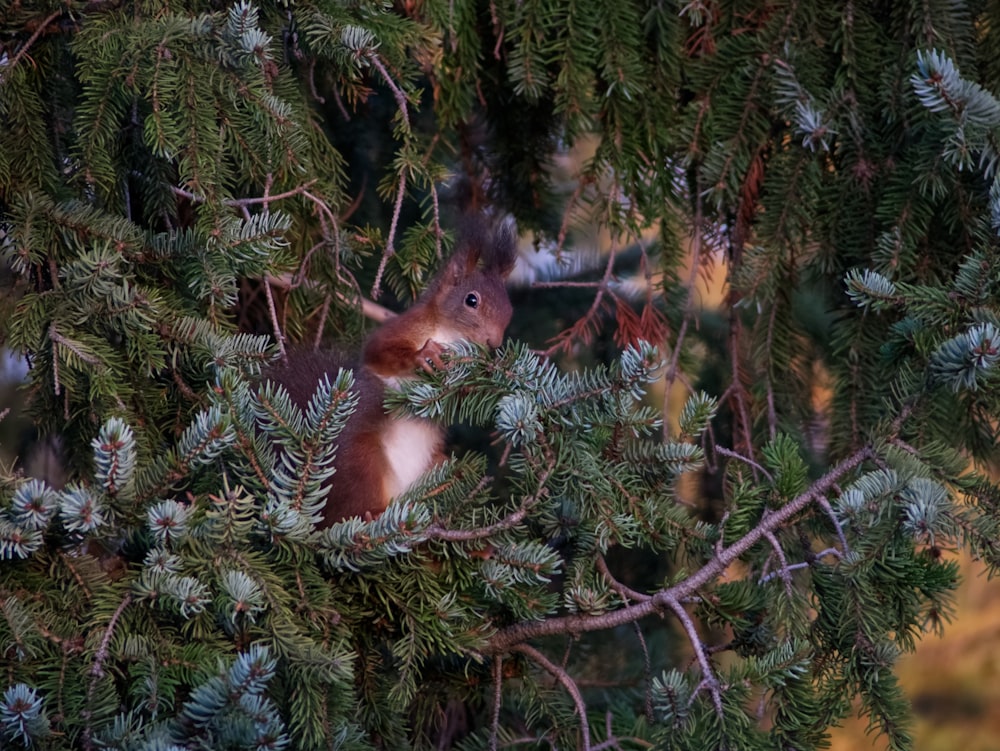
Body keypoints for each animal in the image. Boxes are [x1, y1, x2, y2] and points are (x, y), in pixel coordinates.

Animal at [266, 214, 520, 524]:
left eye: (508, 309)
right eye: (471, 300)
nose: (494, 342)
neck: (452, 336)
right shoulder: (401, 329)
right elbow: (380, 352)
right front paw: (424, 355)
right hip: (361, 458)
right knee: (351, 509)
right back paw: (373, 515)